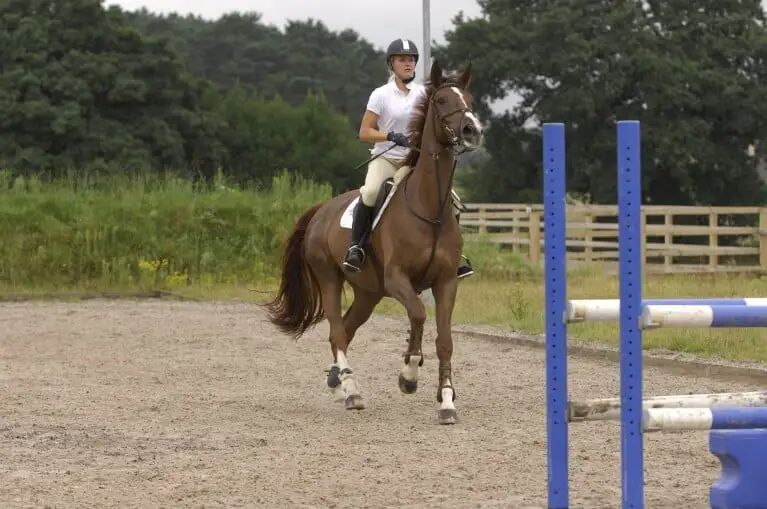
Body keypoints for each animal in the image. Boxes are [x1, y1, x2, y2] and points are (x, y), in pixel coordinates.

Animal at [263, 61, 482, 425]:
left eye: (469, 100)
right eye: (440, 101)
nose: (471, 131)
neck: (429, 209)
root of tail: (322, 209)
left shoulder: (446, 281)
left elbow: (445, 340)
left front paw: (447, 402)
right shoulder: (397, 278)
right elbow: (418, 315)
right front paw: (409, 375)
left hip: (369, 292)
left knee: (346, 329)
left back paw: (338, 383)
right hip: (330, 278)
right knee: (338, 331)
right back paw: (352, 392)